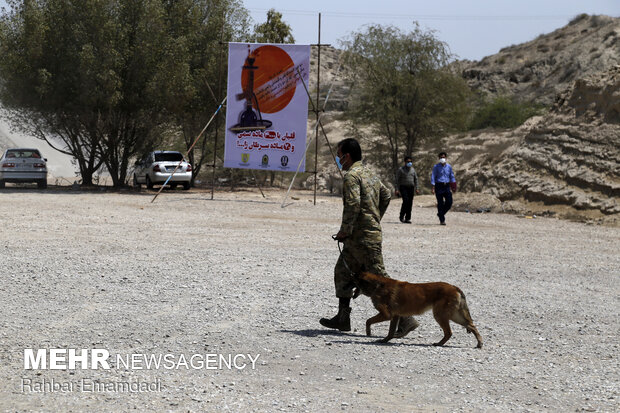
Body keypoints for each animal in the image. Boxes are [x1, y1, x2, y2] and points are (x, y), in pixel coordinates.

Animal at [354, 270, 484, 348]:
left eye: (353, 281)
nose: (348, 286)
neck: (376, 285)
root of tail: (454, 287)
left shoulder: (387, 315)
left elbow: (368, 321)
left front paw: (368, 333)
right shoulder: (395, 316)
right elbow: (390, 332)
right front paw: (385, 340)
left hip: (441, 315)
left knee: (449, 332)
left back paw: (439, 344)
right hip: (454, 315)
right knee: (471, 325)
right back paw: (479, 343)